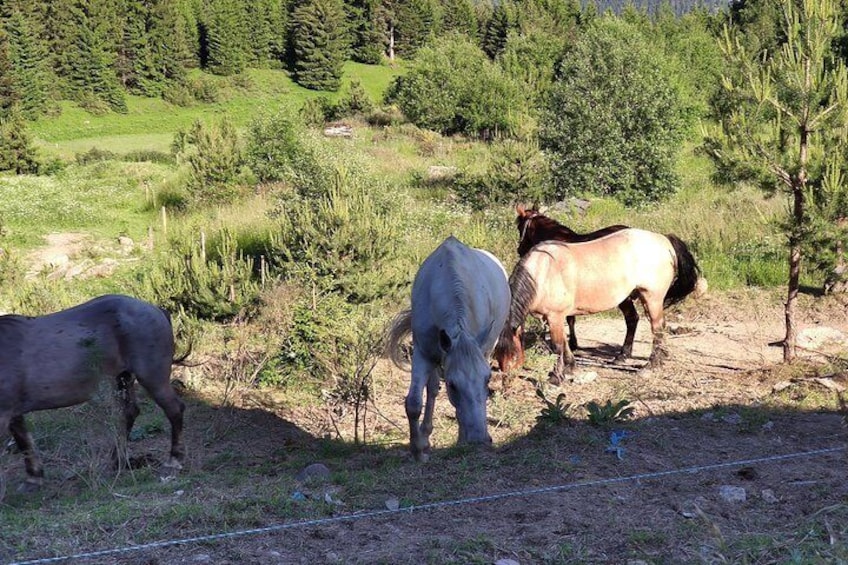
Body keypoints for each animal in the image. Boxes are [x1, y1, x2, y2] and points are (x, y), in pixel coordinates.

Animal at [0, 294, 186, 486]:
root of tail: (155, 309)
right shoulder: (12, 412)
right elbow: (23, 440)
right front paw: (34, 477)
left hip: (152, 378)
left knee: (174, 409)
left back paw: (174, 461)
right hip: (122, 378)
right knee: (129, 413)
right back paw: (117, 461)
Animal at [386, 236, 510, 460]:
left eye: (488, 379)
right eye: (452, 385)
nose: (479, 439)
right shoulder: (423, 353)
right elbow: (414, 403)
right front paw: (418, 449)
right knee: (433, 388)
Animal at [494, 227, 700, 382]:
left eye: (514, 355)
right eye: (497, 356)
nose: (507, 382)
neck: (543, 272)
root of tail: (664, 240)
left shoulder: (555, 316)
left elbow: (558, 346)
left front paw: (556, 377)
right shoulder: (554, 318)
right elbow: (566, 344)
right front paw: (571, 367)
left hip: (652, 298)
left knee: (657, 328)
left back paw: (651, 366)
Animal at [512, 204, 632, 356]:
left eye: (519, 227)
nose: (519, 250)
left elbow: (569, 319)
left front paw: (572, 344)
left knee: (632, 319)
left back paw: (624, 353)